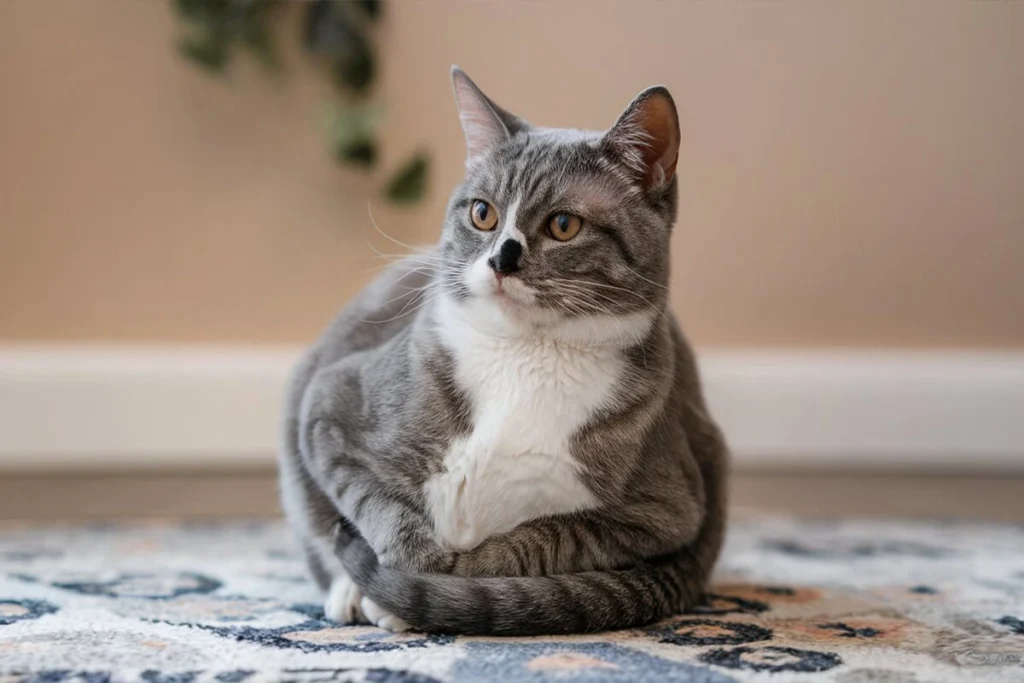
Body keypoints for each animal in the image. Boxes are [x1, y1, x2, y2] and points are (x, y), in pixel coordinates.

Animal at [280, 65, 729, 634]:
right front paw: (410, 565)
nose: (501, 260)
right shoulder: (330, 404)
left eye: (564, 224)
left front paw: (440, 584)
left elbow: (545, 538)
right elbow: (372, 497)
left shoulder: (662, 512)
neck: (525, 356)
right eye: (482, 214)